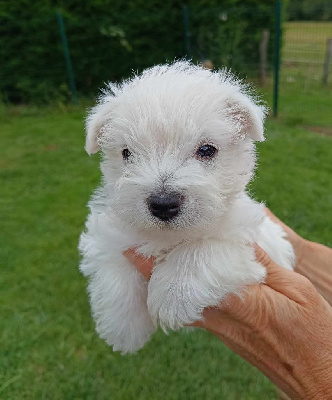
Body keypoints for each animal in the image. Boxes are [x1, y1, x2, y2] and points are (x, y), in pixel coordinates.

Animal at [79, 60, 294, 354]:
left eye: (207, 149)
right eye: (126, 153)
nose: (163, 204)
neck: (169, 237)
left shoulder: (247, 242)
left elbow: (203, 249)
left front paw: (172, 295)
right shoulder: (111, 231)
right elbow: (114, 264)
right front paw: (124, 328)